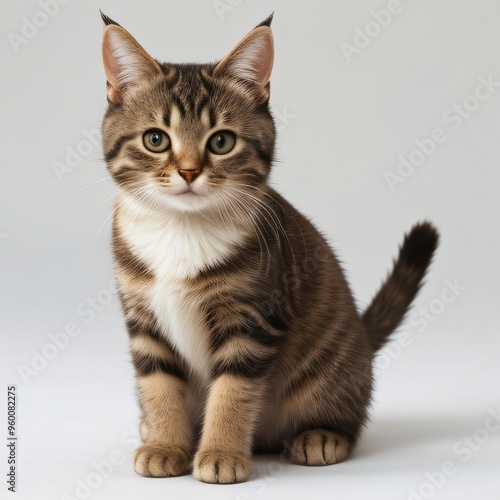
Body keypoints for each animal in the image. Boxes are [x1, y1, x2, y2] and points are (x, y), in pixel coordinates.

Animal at [100, 12, 438, 484]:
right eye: (155, 139)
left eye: (221, 141)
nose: (188, 171)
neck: (182, 229)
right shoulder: (143, 320)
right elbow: (158, 383)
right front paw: (166, 444)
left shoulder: (253, 319)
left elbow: (232, 391)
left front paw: (221, 453)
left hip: (332, 370)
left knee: (345, 415)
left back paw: (321, 436)